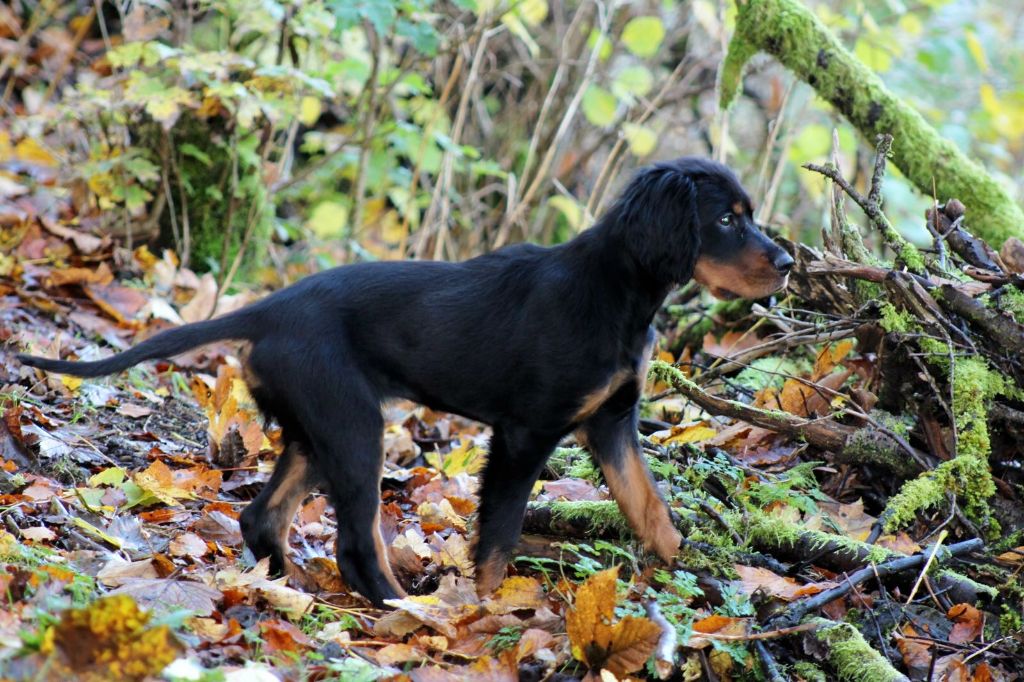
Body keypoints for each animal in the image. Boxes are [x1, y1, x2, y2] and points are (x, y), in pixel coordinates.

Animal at [19, 156, 794, 602]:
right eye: (728, 220)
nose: (788, 264)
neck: (618, 293)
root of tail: (271, 310)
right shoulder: (526, 431)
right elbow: (498, 540)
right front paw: (486, 614)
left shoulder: (611, 423)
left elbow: (652, 511)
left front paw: (693, 584)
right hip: (354, 425)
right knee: (356, 541)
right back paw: (409, 613)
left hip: (321, 428)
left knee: (263, 515)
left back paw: (290, 588)